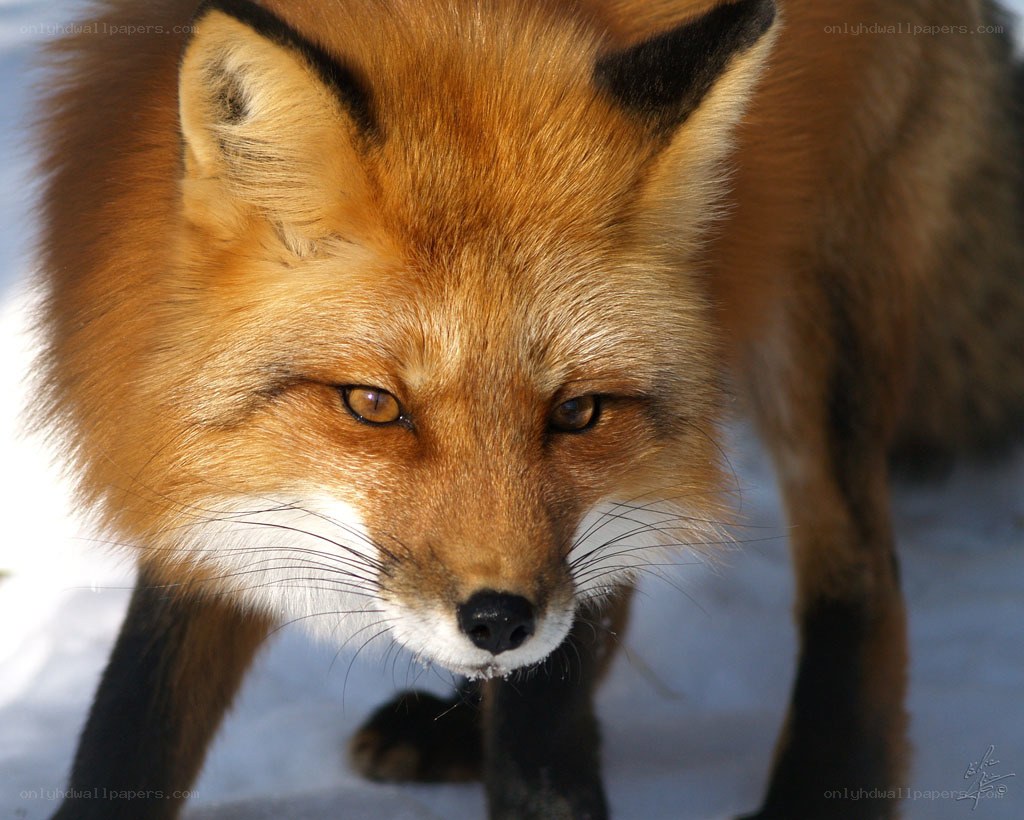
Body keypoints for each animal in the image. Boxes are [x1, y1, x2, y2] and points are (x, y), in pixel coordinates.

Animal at [32, 0, 1024, 817]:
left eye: (577, 411)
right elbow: (131, 722)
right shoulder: (184, 457)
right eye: (373, 405)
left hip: (819, 314)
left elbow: (545, 747)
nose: (498, 622)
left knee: (862, 575)